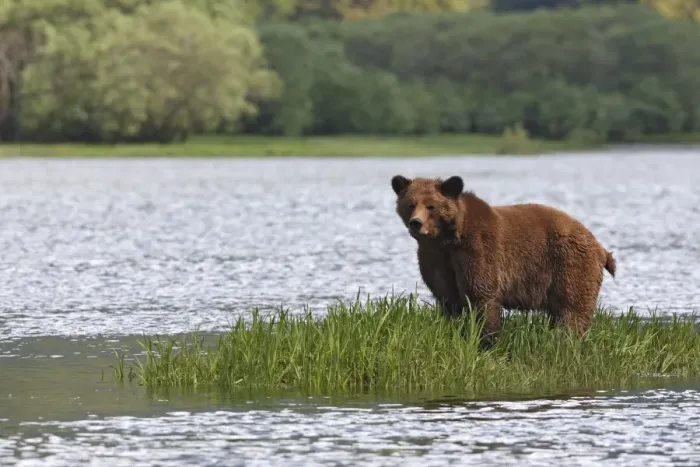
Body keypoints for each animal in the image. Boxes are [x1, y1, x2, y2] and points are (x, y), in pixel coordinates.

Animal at [390, 174, 616, 346]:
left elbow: (481, 295)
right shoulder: (436, 259)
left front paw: (488, 341)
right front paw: (455, 329)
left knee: (572, 309)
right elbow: (448, 298)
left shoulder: (477, 249)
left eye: (431, 206)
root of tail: (599, 246)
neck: (449, 238)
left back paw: (568, 341)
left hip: (571, 263)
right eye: (410, 204)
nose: (416, 223)